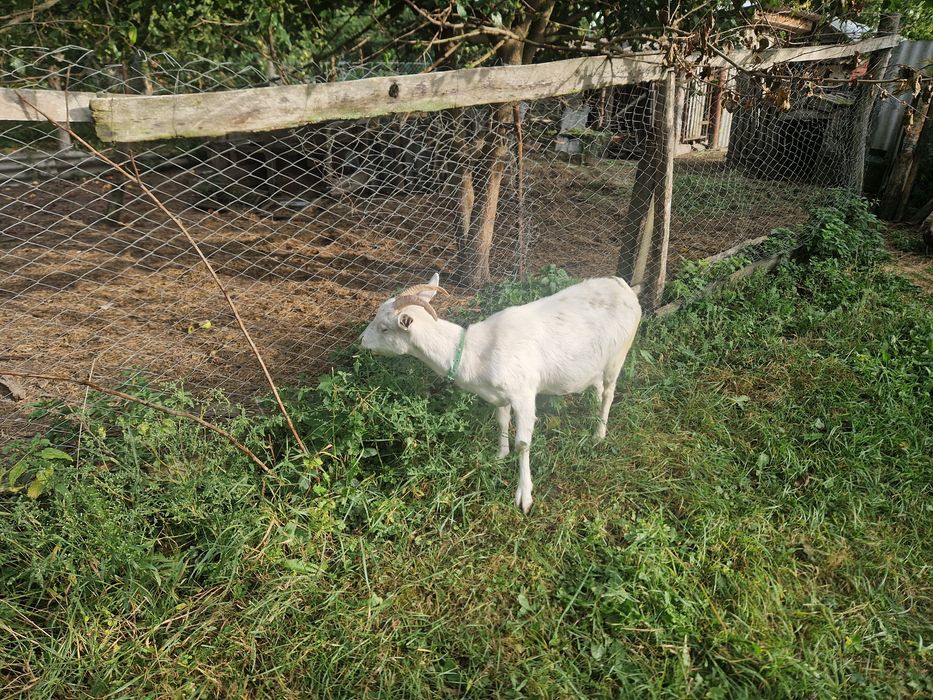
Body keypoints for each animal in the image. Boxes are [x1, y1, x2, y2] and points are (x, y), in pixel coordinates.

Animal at [360, 273, 642, 513]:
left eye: (384, 328)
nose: (362, 341)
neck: (474, 351)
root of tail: (623, 286)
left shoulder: (524, 393)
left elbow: (524, 443)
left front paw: (524, 497)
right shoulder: (499, 395)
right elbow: (501, 422)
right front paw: (499, 456)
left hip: (619, 354)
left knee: (609, 393)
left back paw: (599, 433)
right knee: (597, 386)